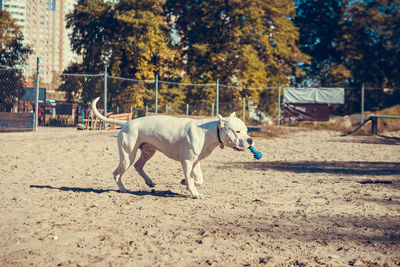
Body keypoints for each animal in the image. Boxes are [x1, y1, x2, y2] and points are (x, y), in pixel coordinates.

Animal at [91, 98, 253, 199]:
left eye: (246, 130)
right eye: (237, 131)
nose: (250, 140)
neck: (211, 131)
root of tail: (125, 123)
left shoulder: (195, 162)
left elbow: (198, 179)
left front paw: (184, 182)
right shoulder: (186, 161)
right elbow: (192, 179)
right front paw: (194, 193)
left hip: (148, 151)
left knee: (138, 166)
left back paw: (149, 182)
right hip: (127, 156)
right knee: (117, 173)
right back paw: (124, 189)